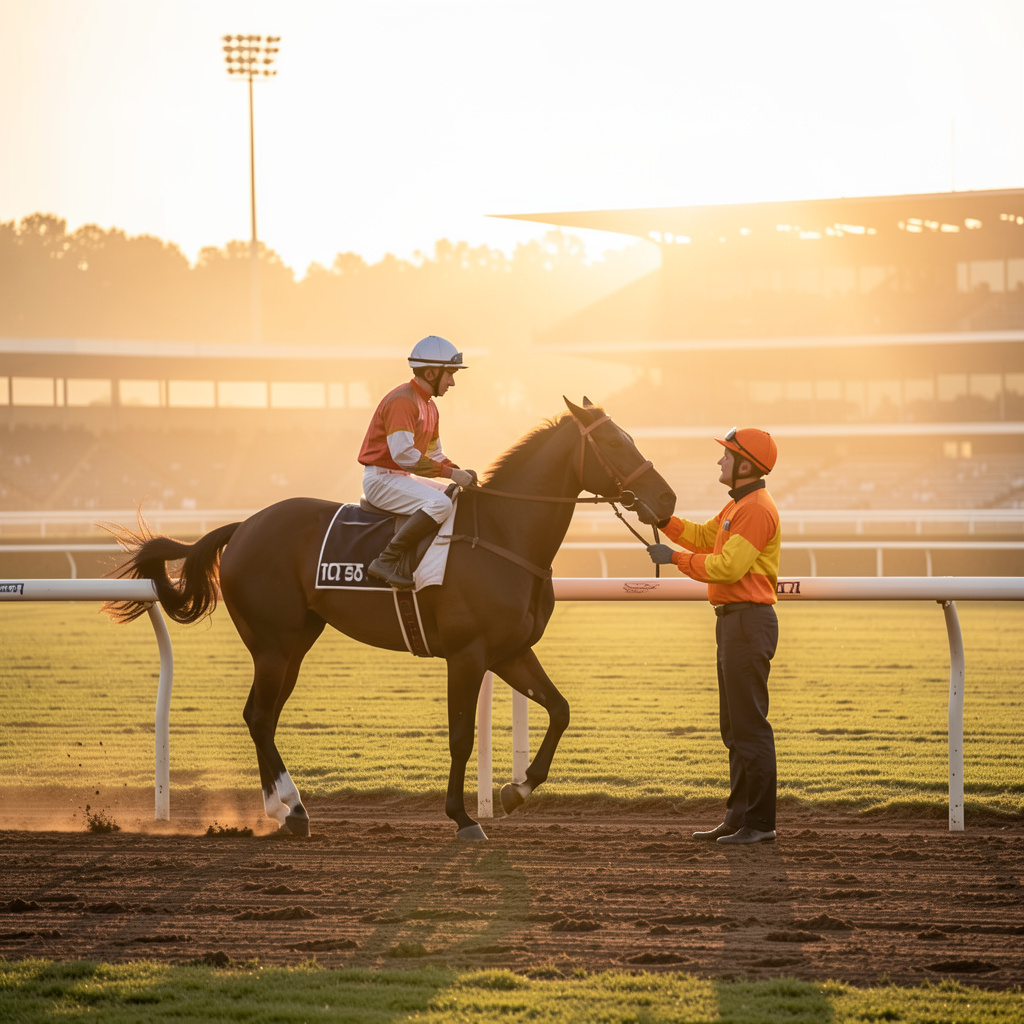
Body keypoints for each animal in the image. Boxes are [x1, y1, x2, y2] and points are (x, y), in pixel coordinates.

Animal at [105, 397, 676, 840]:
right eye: (617, 443)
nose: (667, 499)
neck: (502, 534)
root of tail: (243, 525)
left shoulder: (510, 650)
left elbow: (560, 710)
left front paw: (516, 791)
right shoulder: (467, 654)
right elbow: (461, 734)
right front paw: (463, 817)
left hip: (295, 643)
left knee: (259, 715)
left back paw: (285, 809)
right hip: (273, 642)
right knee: (261, 716)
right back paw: (293, 808)